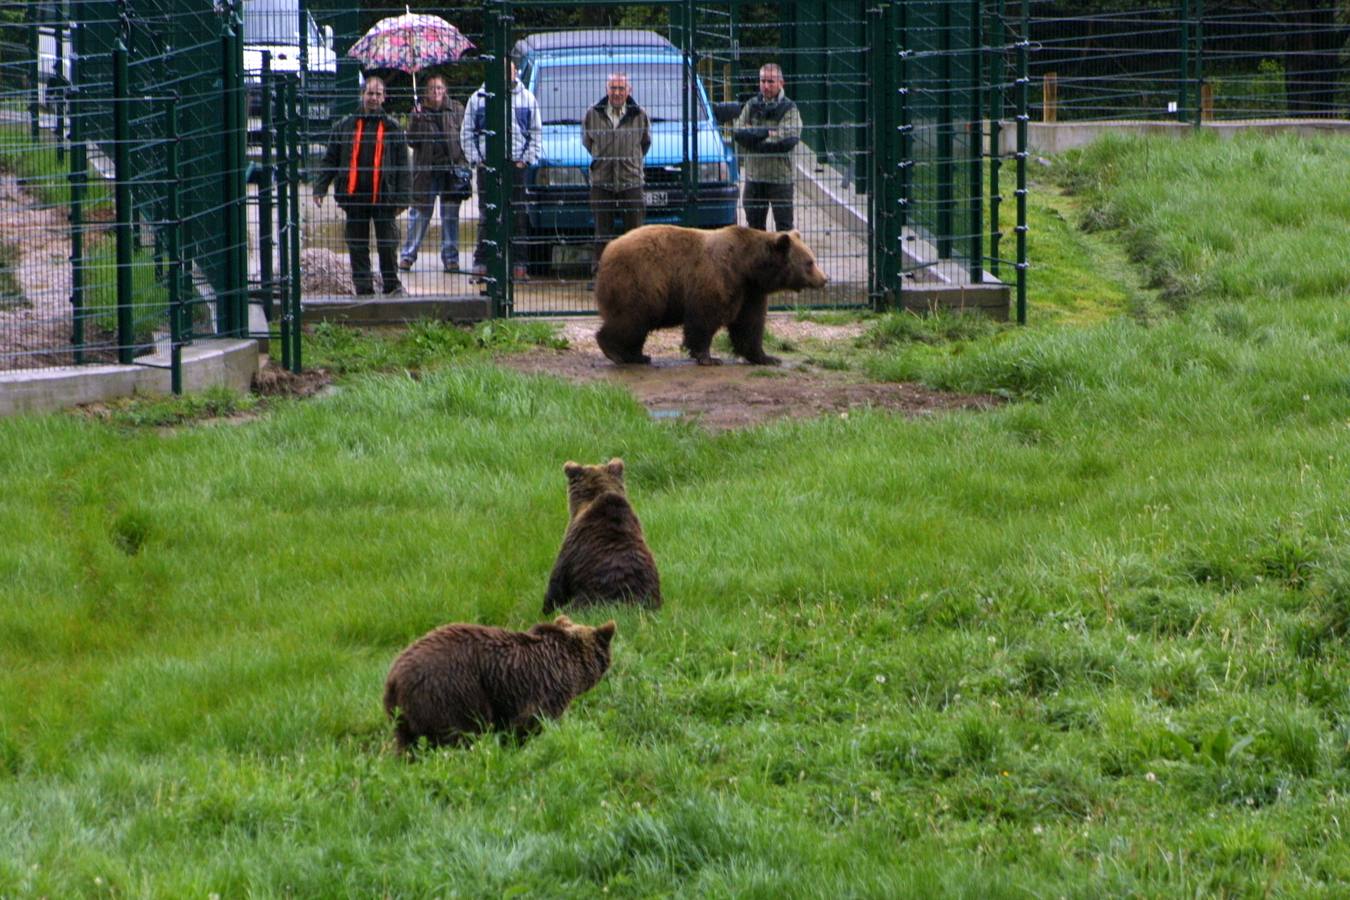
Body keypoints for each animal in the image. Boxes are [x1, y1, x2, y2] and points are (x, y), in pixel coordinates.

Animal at [596, 225, 826, 367]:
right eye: (810, 262)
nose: (824, 278)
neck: (747, 267)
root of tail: (607, 250)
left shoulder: (750, 293)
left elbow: (750, 325)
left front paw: (767, 357)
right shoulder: (718, 279)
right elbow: (705, 319)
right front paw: (708, 357)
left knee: (637, 326)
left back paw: (638, 356)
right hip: (642, 280)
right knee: (631, 319)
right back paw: (614, 351)